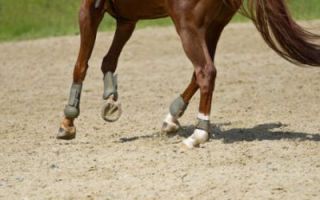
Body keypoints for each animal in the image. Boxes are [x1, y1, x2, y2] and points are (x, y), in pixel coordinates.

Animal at [57, 0, 318, 147]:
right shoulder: (127, 19)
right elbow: (108, 60)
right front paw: (111, 97)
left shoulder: (89, 10)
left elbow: (81, 65)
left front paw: (68, 122)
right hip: (214, 26)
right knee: (201, 72)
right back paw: (172, 117)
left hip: (188, 25)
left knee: (205, 71)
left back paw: (199, 133)